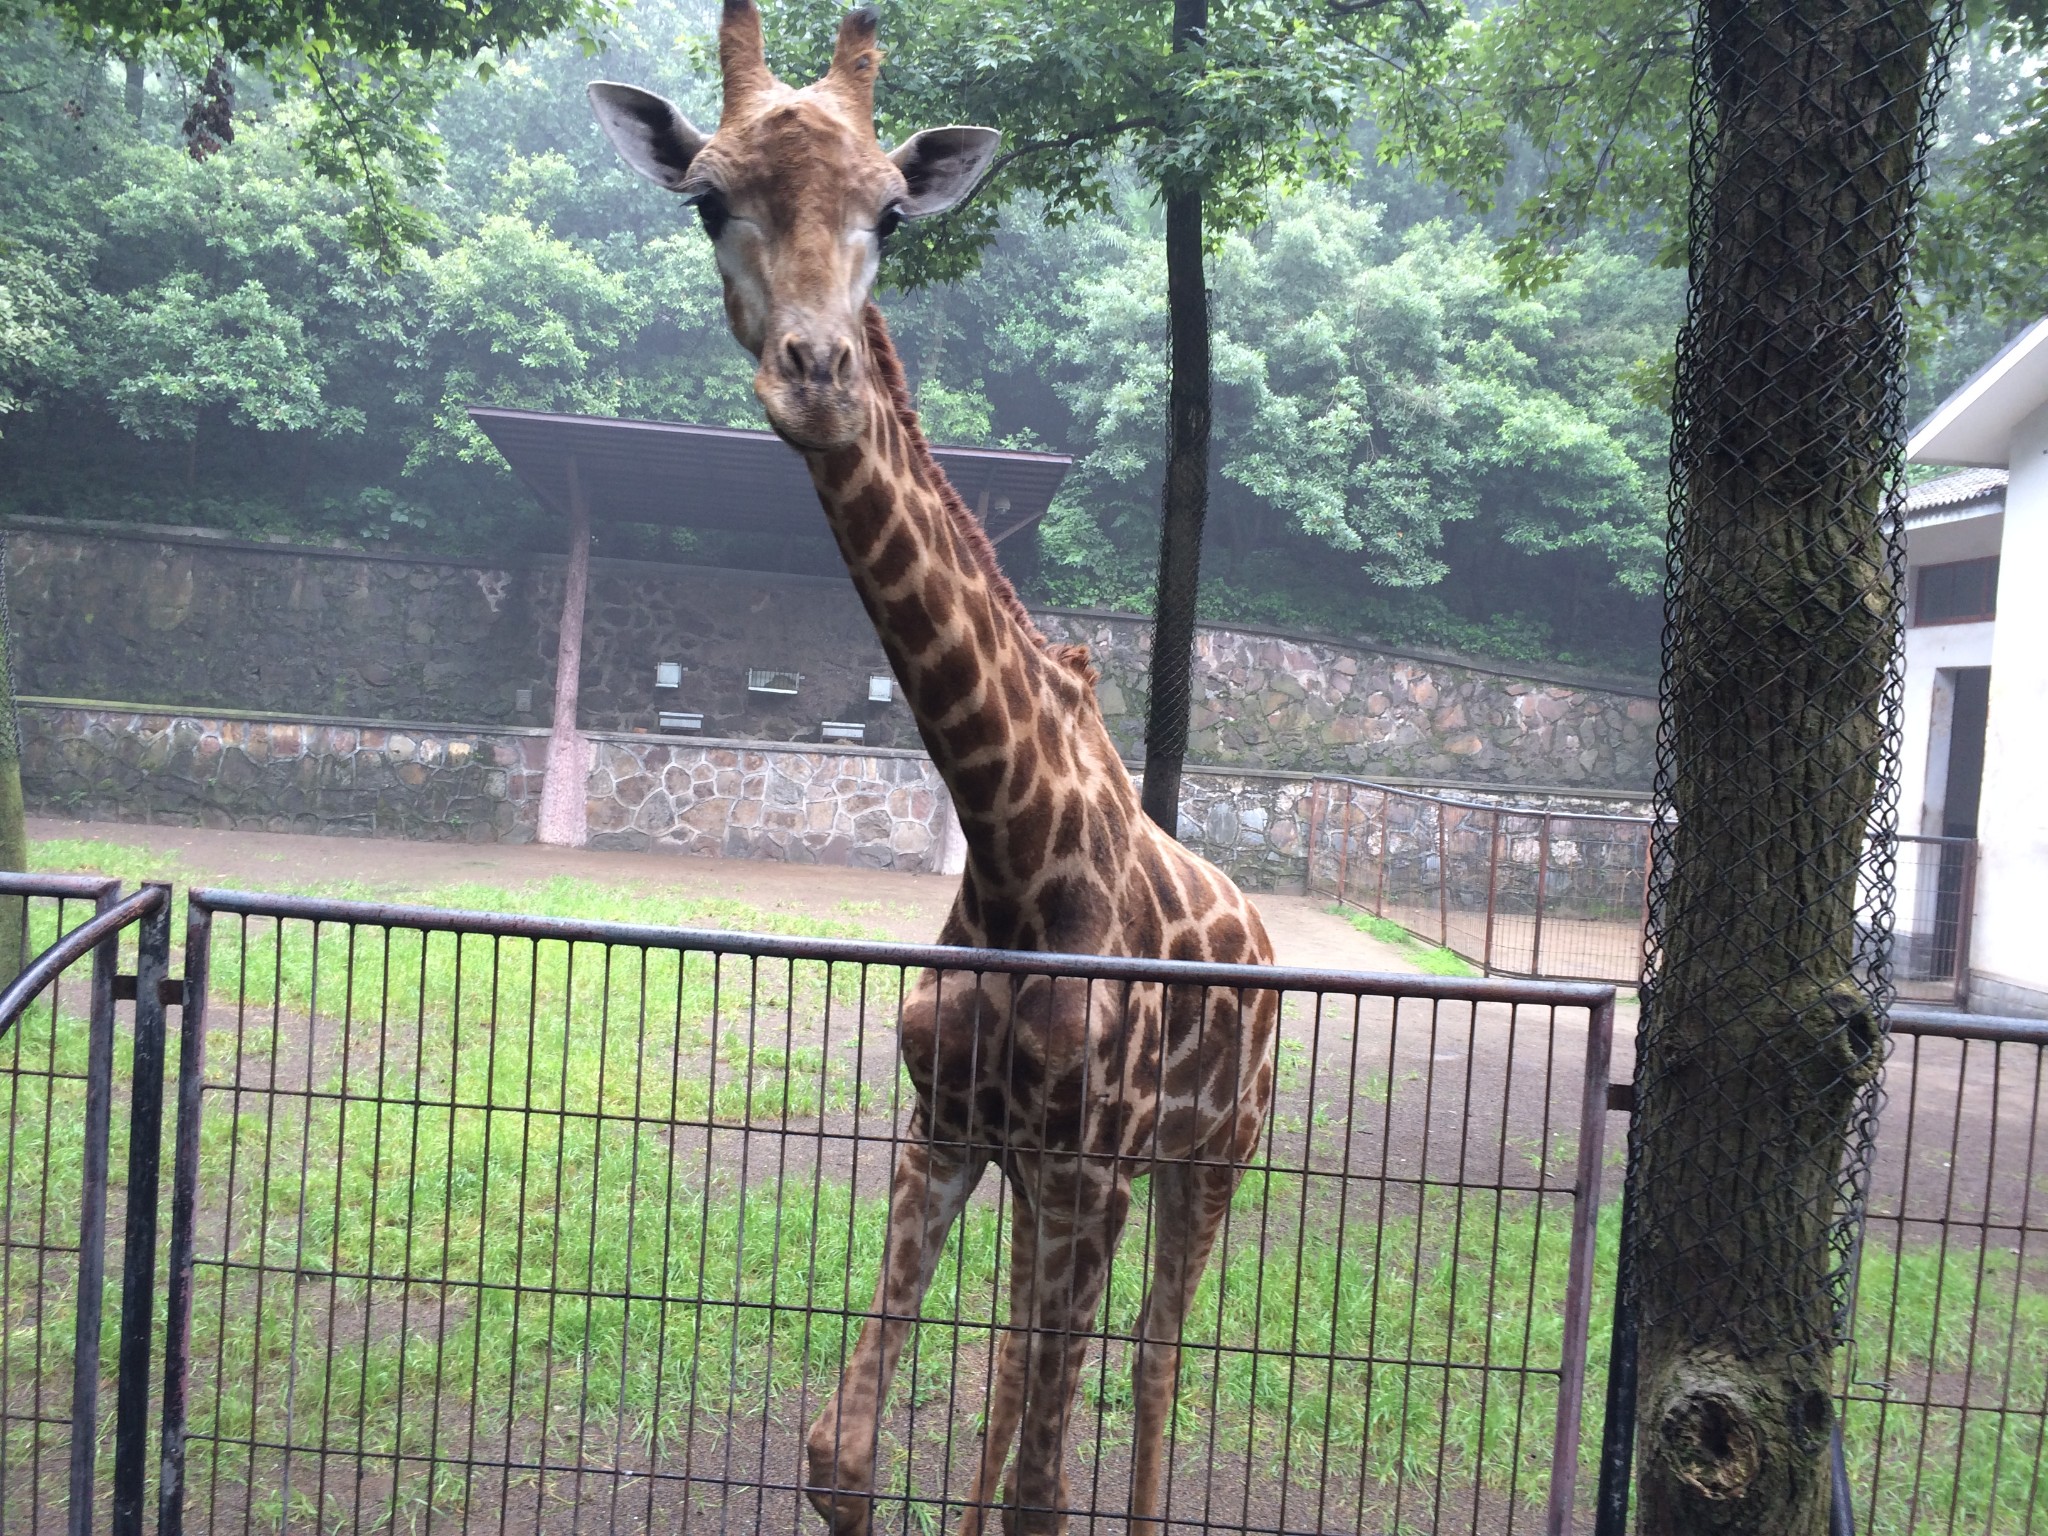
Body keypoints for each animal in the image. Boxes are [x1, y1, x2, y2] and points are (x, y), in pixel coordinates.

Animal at [585, 6, 1269, 1531]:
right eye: (706, 197)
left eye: (892, 212)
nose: (816, 373)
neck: (1012, 848)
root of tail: (1261, 935)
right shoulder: (952, 1133)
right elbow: (844, 1453)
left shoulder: (1094, 1166)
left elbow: (1045, 1490)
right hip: (1055, 1183)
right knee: (1017, 1355)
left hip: (1210, 1158)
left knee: (1157, 1356)